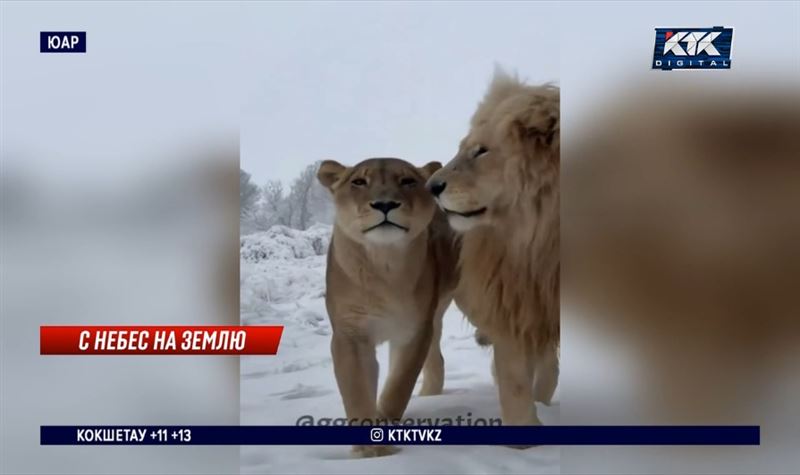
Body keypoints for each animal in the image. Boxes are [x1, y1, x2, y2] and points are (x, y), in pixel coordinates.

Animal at [316, 158, 460, 460]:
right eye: (359, 182)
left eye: (407, 181)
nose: (384, 204)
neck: (384, 265)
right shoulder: (350, 334)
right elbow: (356, 388)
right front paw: (369, 449)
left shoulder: (413, 331)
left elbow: (398, 386)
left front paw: (382, 427)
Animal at [428, 71, 560, 428]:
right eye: (462, 148)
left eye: (481, 151)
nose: (431, 187)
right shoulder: (513, 308)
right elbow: (516, 388)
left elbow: (548, 375)